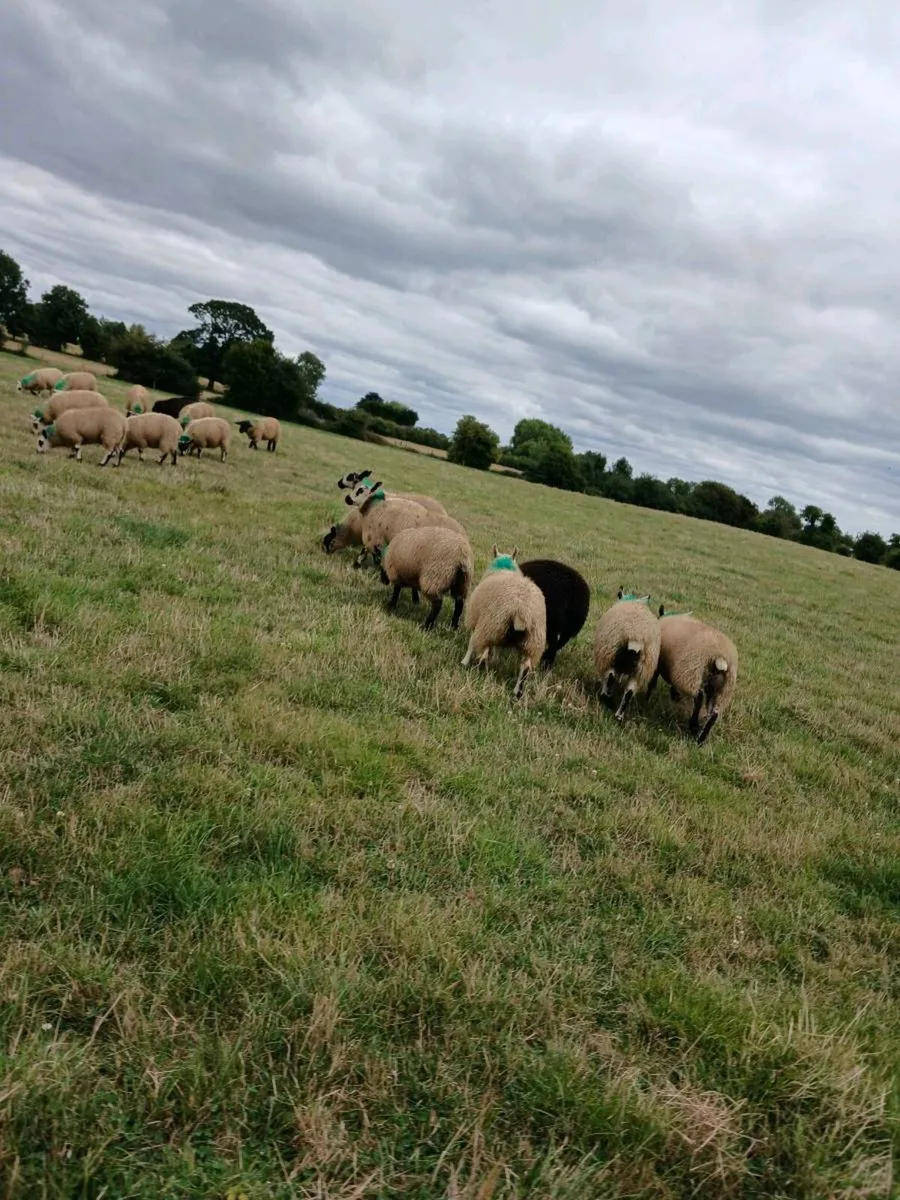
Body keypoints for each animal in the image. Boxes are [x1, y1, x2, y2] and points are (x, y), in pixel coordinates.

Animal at [461, 546, 547, 700]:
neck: (503, 568)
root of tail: (521, 609)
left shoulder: (477, 618)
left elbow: (471, 642)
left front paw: (464, 661)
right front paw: (495, 657)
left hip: (489, 626)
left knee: (483, 654)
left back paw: (481, 673)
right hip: (532, 642)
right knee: (525, 668)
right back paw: (516, 693)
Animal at [593, 590, 661, 722]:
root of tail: (636, 635)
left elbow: (607, 678)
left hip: (610, 654)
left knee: (610, 676)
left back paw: (606, 698)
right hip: (642, 671)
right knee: (629, 692)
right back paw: (619, 716)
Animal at [650, 607, 738, 745]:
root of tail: (719, 657)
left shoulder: (661, 663)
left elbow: (655, 678)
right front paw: (675, 696)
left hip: (690, 674)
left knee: (699, 697)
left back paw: (693, 725)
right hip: (722, 689)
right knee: (714, 713)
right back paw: (701, 738)